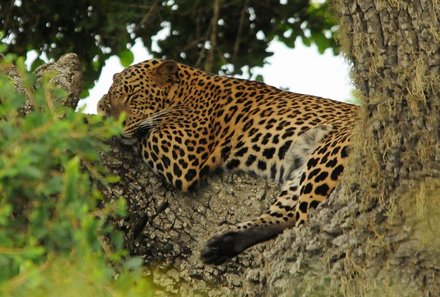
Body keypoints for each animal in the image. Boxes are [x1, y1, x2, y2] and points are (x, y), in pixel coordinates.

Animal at [98, 57, 360, 264]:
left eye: (133, 96)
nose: (113, 123)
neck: (185, 91)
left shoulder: (182, 153)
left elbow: (144, 135)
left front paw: (99, 112)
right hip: (303, 168)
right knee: (286, 215)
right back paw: (223, 244)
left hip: (325, 158)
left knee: (308, 226)